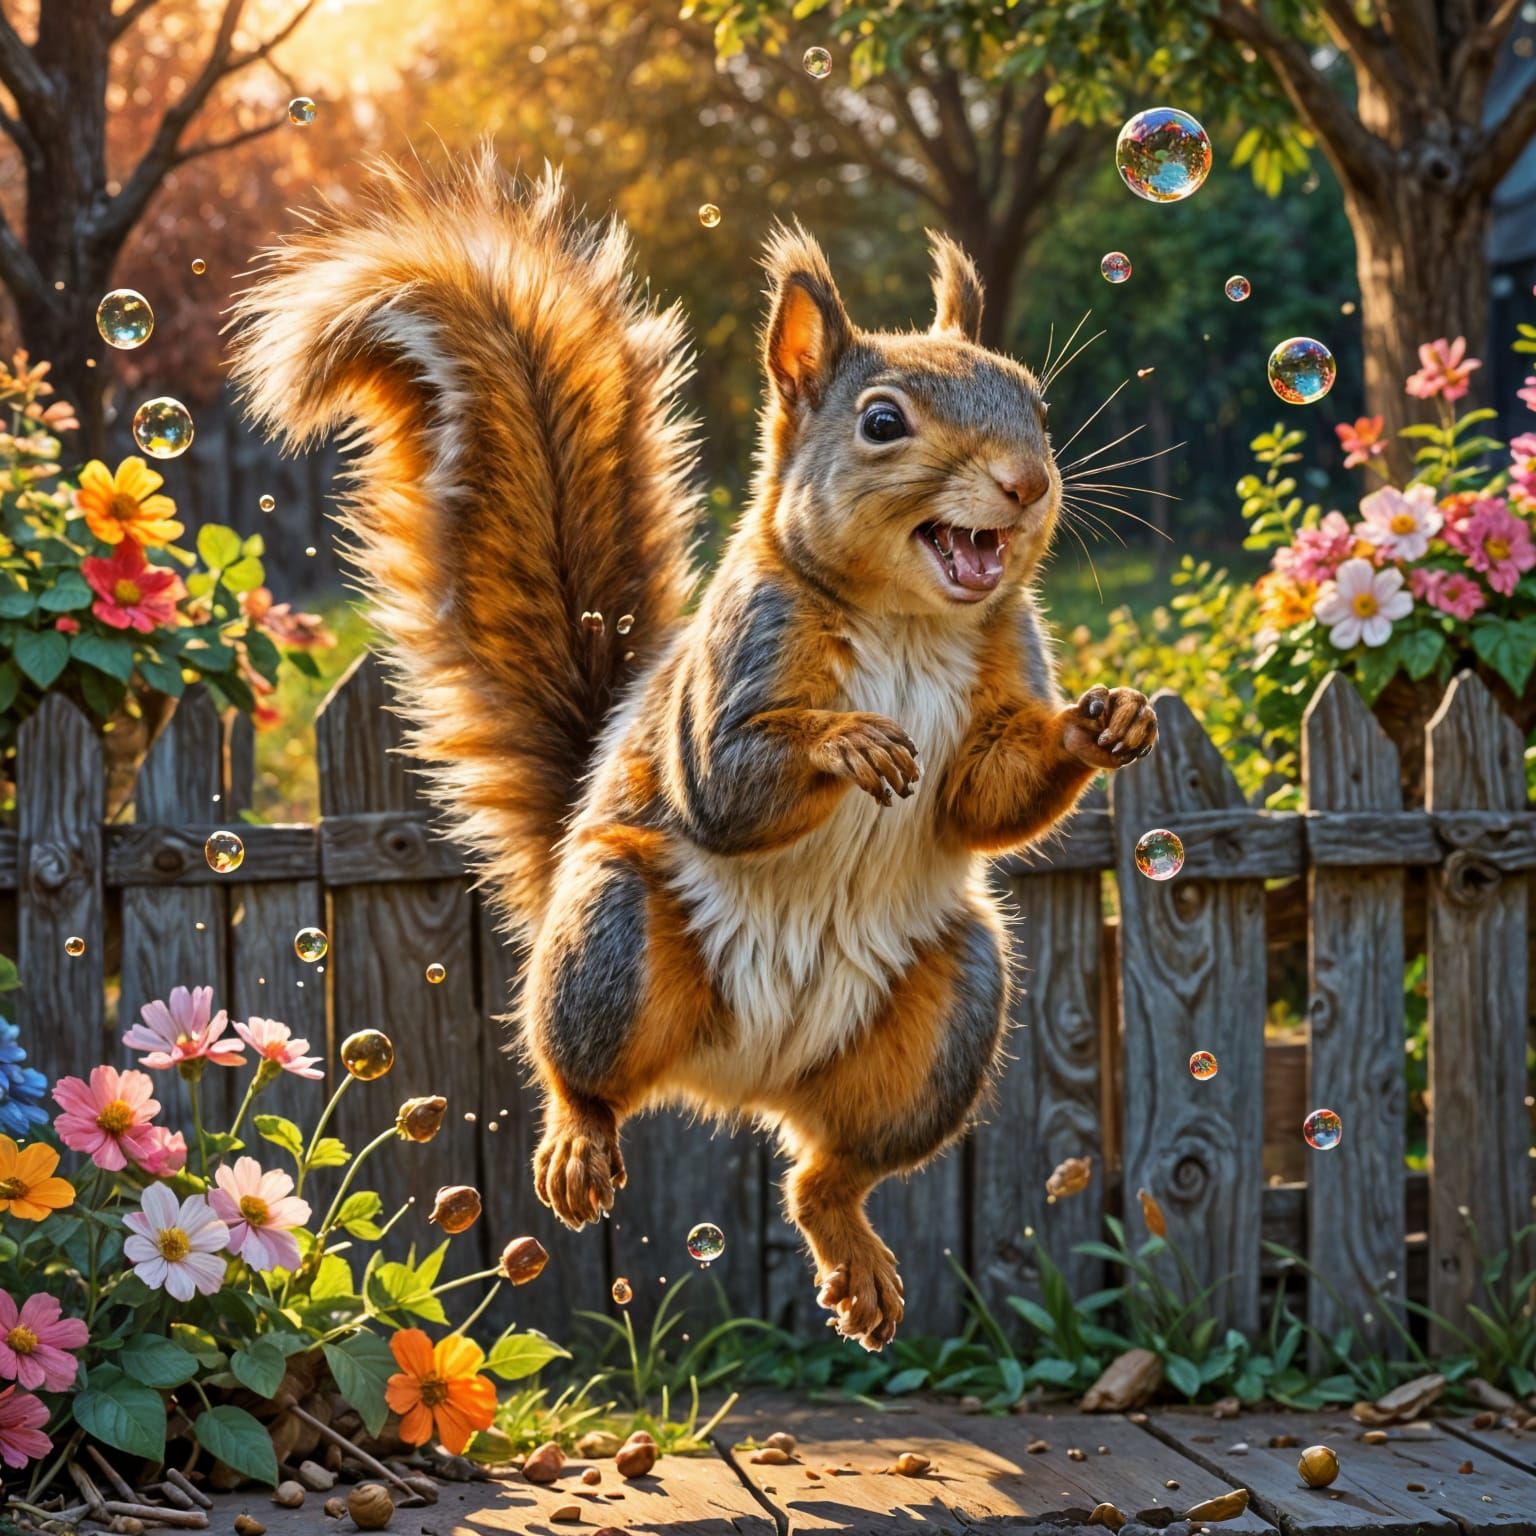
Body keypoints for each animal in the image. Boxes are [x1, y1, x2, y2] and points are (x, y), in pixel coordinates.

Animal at [229, 149, 1158, 1351]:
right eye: (883, 421)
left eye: (1034, 403)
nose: (1029, 483)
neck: (909, 622)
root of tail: (741, 1081)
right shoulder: (736, 664)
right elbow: (726, 785)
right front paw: (849, 743)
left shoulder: (1005, 677)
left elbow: (983, 795)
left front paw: (1104, 723)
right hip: (614, 939)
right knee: (582, 1070)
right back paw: (580, 1142)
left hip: (954, 1010)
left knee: (829, 1174)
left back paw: (852, 1251)